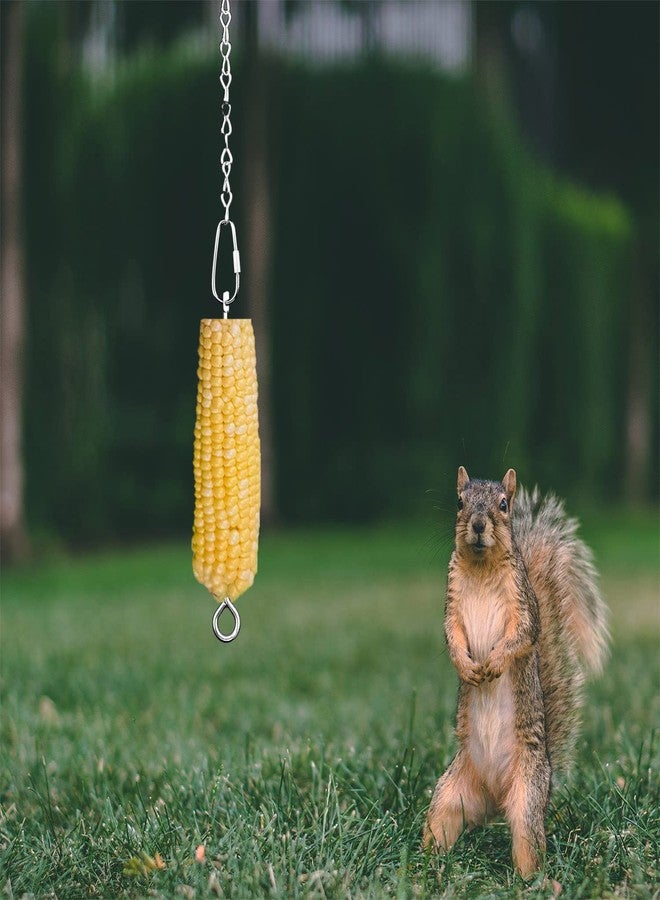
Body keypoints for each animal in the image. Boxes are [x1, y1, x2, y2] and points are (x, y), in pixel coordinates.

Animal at [423, 467, 609, 878]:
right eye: (459, 501)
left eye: (504, 505)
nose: (478, 524)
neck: (481, 567)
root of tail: (495, 797)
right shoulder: (451, 601)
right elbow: (450, 634)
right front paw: (466, 665)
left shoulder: (524, 604)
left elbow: (523, 635)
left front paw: (493, 663)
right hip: (450, 795)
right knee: (440, 823)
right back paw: (423, 866)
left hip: (527, 795)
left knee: (527, 840)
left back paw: (531, 881)